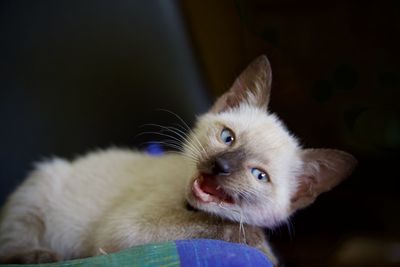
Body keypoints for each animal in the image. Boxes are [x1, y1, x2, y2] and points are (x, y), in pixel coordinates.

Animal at [0, 56, 356, 266]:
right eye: (227, 138)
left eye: (259, 175)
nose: (221, 167)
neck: (187, 203)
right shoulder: (129, 231)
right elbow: (217, 228)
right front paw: (261, 247)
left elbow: (227, 224)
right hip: (39, 189)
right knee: (10, 244)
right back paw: (38, 256)